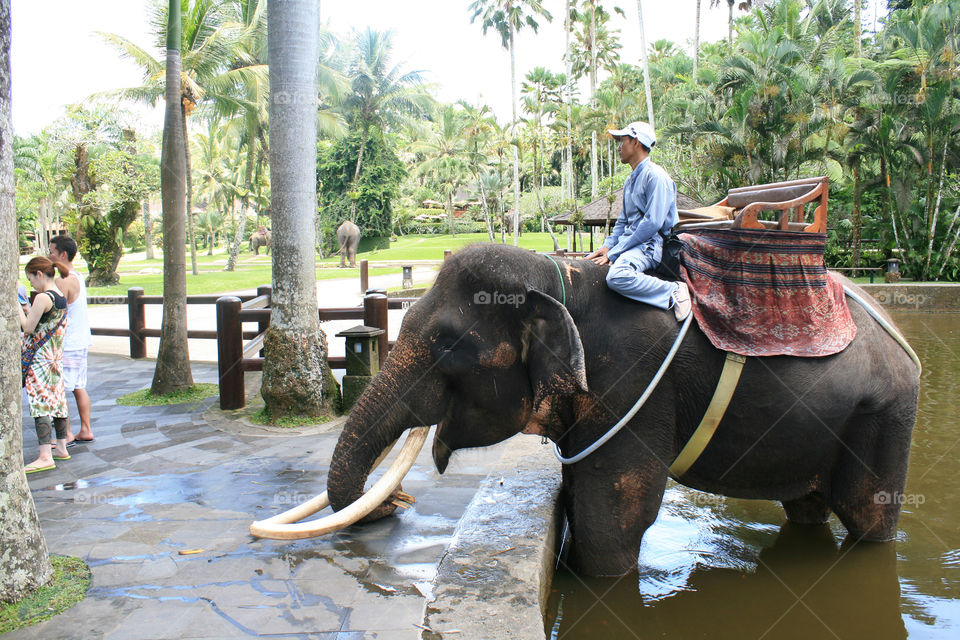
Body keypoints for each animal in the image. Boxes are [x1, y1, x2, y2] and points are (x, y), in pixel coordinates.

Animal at [322, 244, 919, 577]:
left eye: (447, 345)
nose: (397, 500)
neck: (563, 279)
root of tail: (902, 338)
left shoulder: (635, 386)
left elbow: (611, 512)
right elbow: (582, 498)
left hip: (885, 416)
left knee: (868, 512)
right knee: (807, 505)